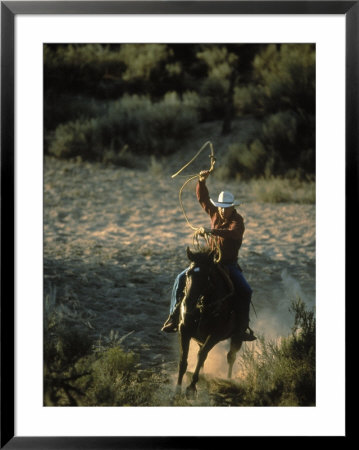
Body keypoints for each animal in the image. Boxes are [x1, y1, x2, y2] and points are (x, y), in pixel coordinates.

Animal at [177, 246, 245, 398]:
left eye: (206, 276)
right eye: (188, 274)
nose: (188, 305)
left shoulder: (215, 335)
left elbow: (202, 355)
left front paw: (191, 387)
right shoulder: (184, 330)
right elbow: (183, 359)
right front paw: (177, 388)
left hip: (237, 337)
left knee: (231, 356)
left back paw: (228, 380)